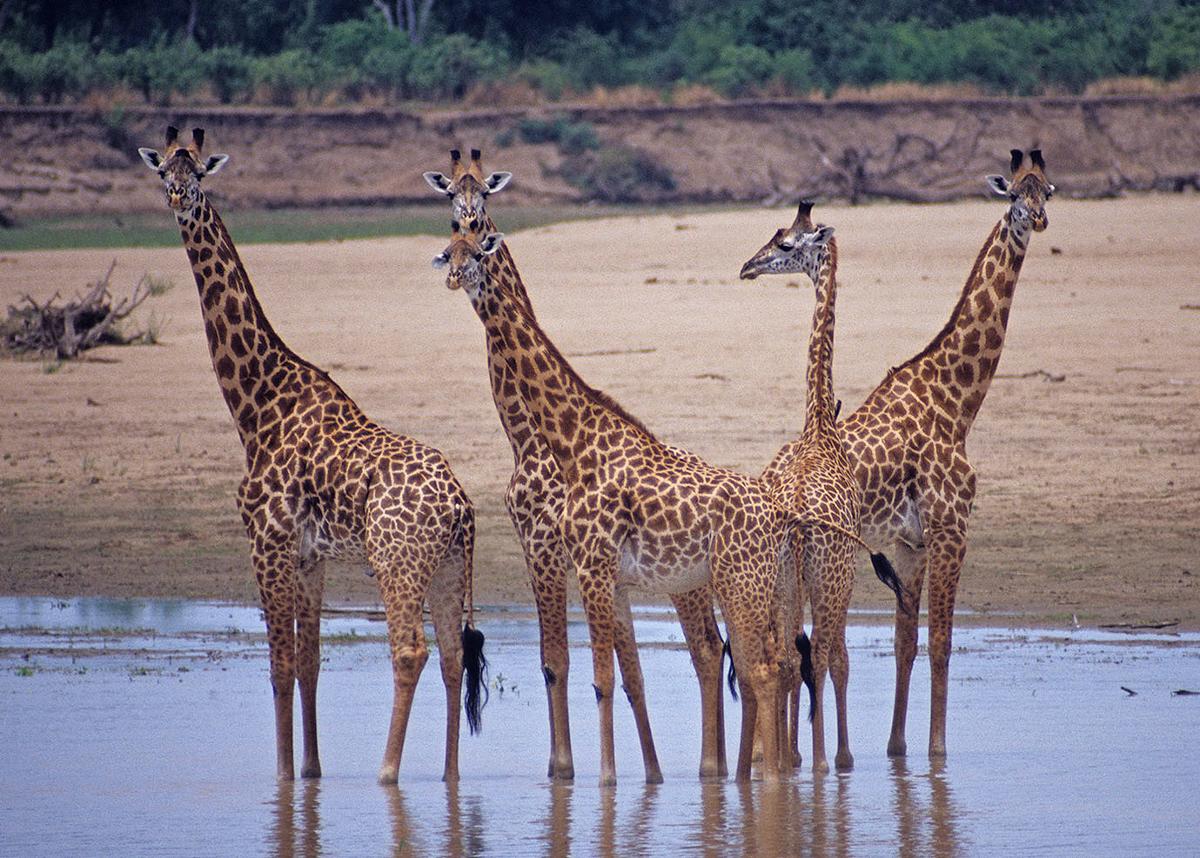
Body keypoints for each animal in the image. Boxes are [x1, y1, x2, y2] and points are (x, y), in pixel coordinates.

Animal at [142, 126, 489, 787]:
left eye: (198, 173)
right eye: (163, 170)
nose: (176, 199)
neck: (256, 406)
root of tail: (461, 505)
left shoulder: (267, 540)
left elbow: (279, 663)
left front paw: (281, 775)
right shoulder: (310, 555)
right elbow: (309, 661)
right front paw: (310, 772)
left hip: (397, 564)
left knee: (410, 650)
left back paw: (387, 771)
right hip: (448, 567)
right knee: (455, 656)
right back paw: (450, 776)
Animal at [422, 149, 729, 787]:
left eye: (482, 209)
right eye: (449, 222)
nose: (455, 271)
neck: (536, 438)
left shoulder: (557, 554)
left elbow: (578, 669)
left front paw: (582, 773)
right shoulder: (581, 564)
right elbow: (608, 671)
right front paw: (630, 774)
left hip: (694, 586)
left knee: (713, 654)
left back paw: (716, 769)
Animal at [739, 199, 902, 772]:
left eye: (786, 243)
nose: (747, 268)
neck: (818, 427)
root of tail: (800, 518)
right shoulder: (846, 568)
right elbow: (838, 659)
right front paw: (840, 756)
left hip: (788, 577)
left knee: (793, 656)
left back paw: (791, 761)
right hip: (832, 575)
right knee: (829, 654)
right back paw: (828, 761)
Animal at [840, 147, 1056, 758]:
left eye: (1047, 192)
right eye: (1014, 196)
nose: (1038, 221)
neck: (956, 401)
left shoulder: (910, 543)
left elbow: (906, 642)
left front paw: (897, 749)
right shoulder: (952, 526)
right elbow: (941, 640)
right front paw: (937, 752)